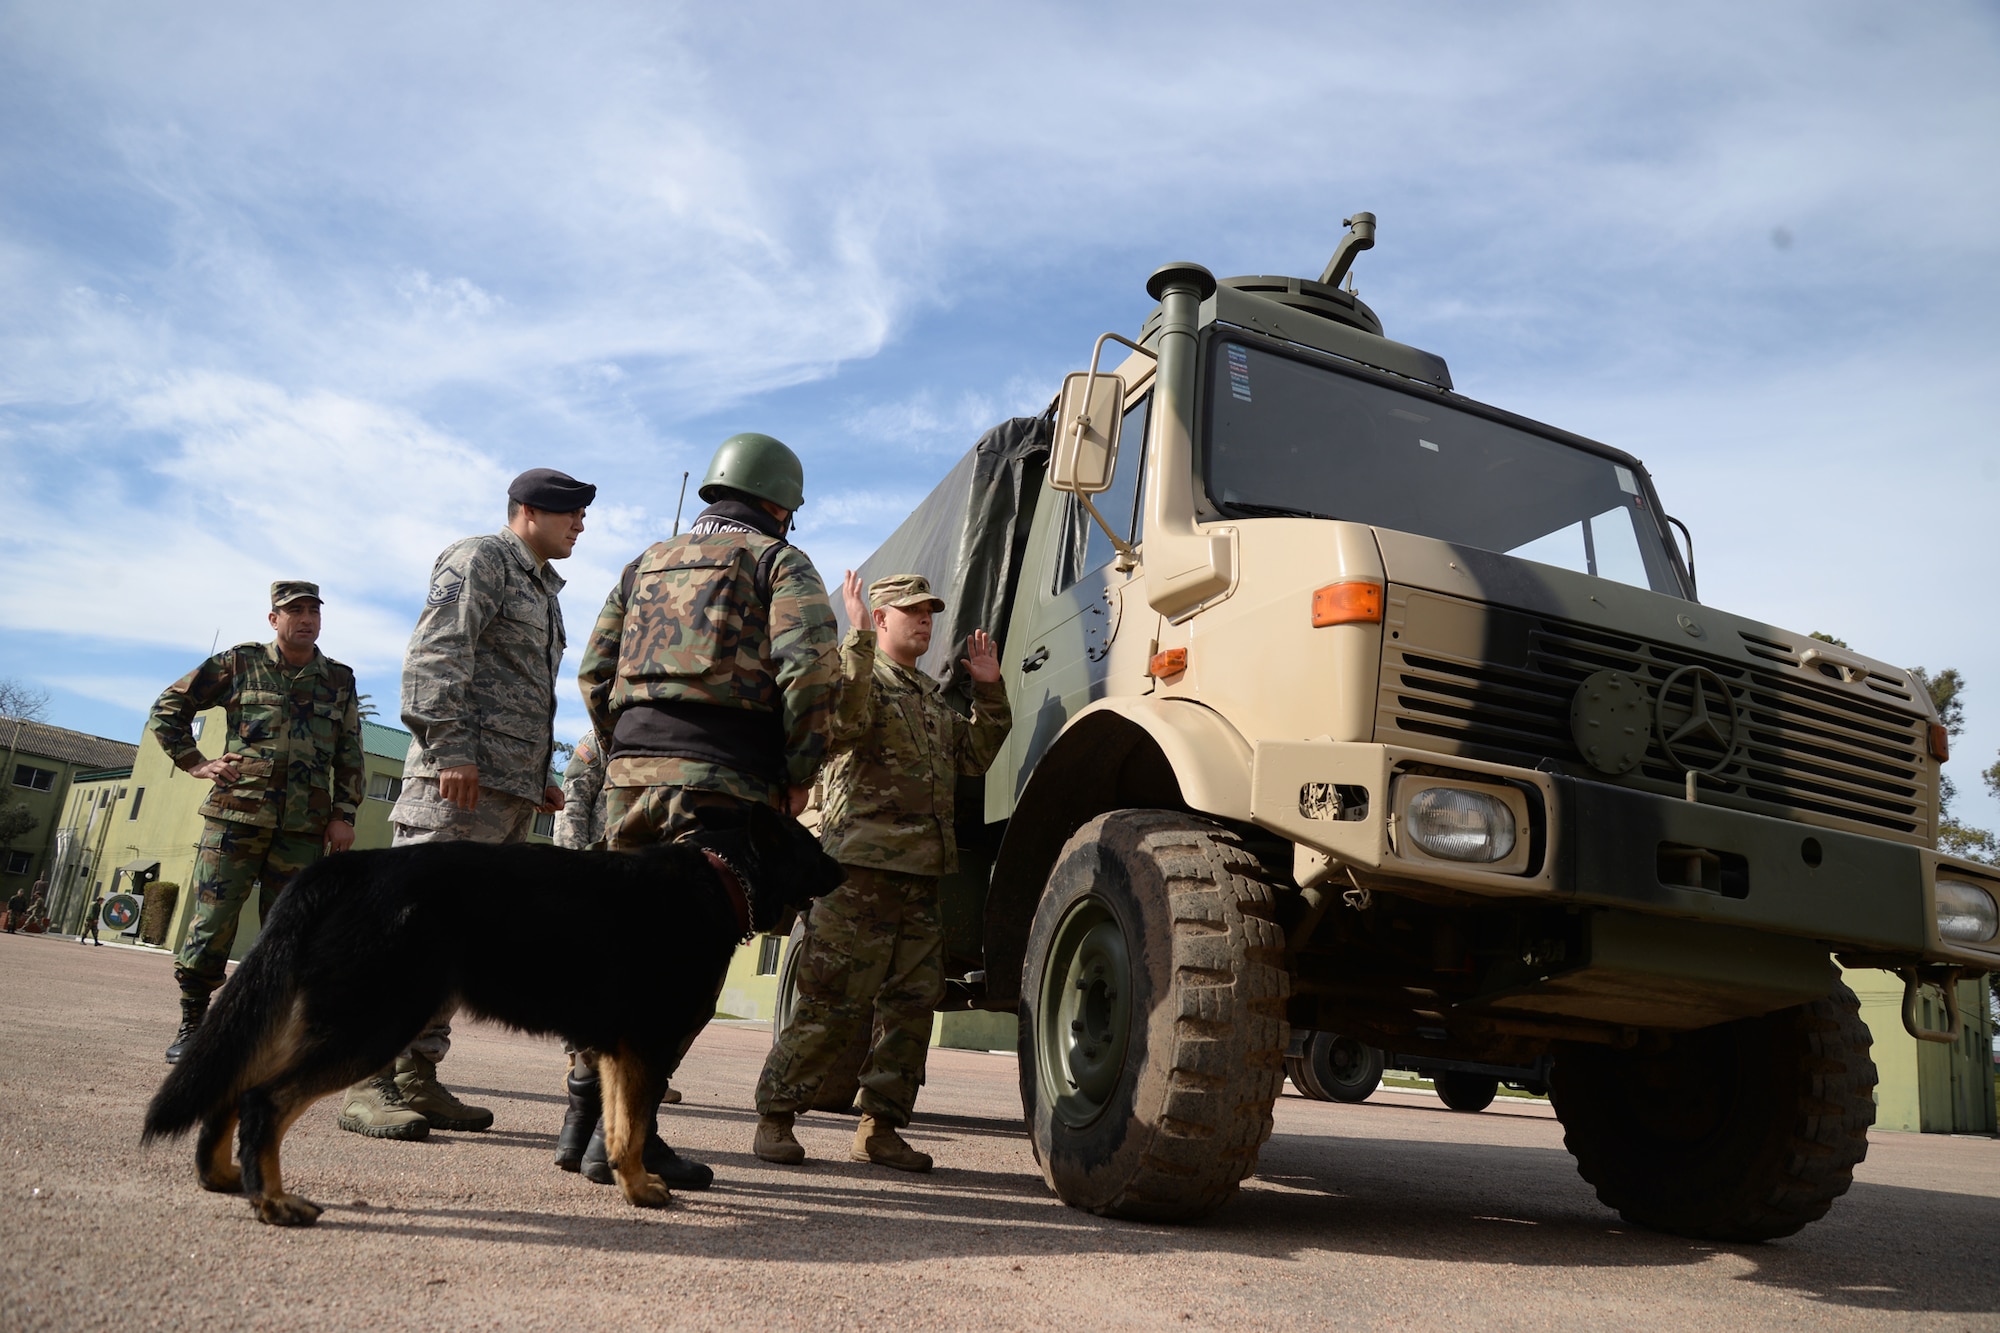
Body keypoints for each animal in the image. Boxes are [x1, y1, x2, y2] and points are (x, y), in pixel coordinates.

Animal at [145, 800, 840, 1224]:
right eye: (814, 847)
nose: (845, 868)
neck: (722, 876)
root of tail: (351, 866)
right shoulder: (649, 1045)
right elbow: (636, 1125)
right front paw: (642, 1188)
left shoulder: (619, 1050)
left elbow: (620, 1129)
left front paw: (630, 1186)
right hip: (372, 1025)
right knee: (264, 1098)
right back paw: (273, 1202)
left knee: (234, 1087)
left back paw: (225, 1177)